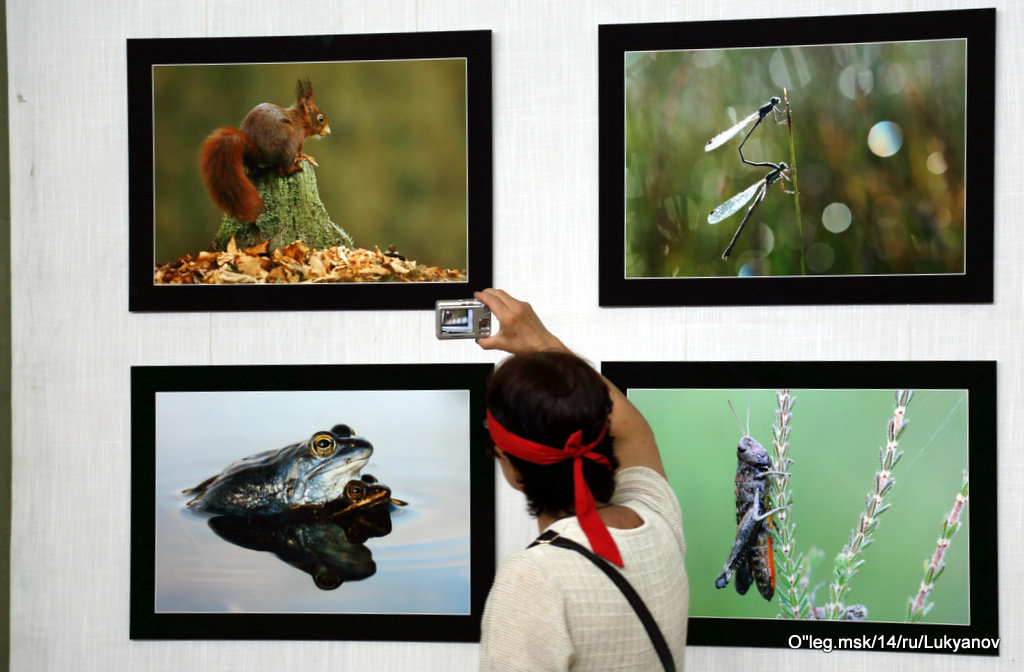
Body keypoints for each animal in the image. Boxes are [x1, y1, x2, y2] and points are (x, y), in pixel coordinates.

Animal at [198, 78, 327, 220]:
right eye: (321, 118)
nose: (328, 131)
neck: (301, 118)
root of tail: (259, 153)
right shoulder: (298, 136)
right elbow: (299, 151)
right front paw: (304, 157)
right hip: (288, 140)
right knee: (283, 170)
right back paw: (295, 168)